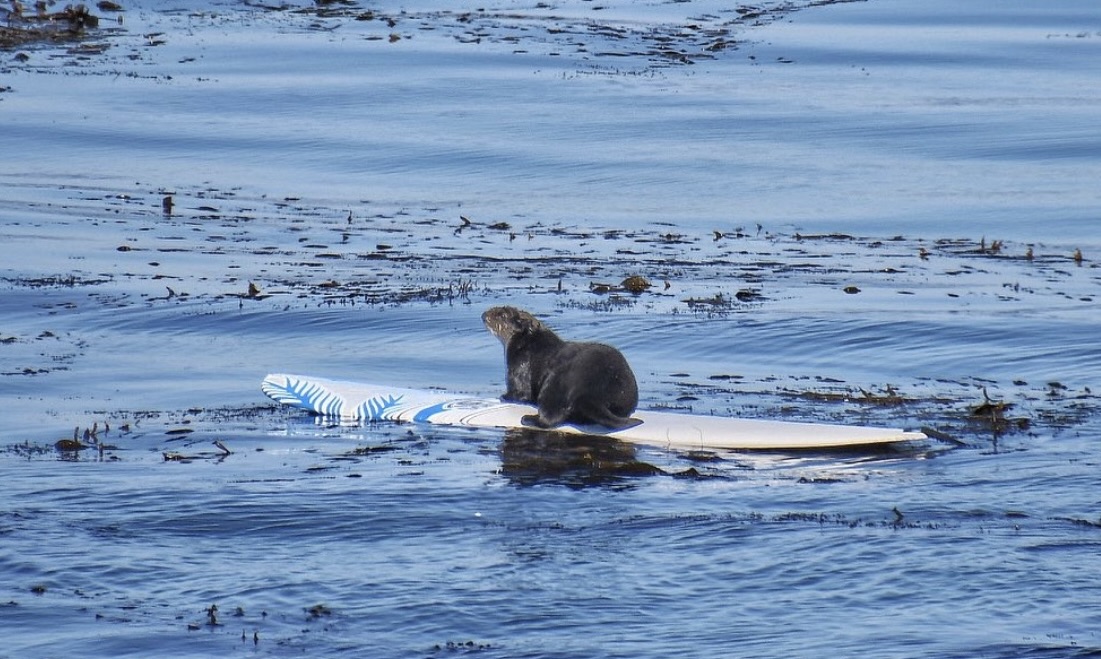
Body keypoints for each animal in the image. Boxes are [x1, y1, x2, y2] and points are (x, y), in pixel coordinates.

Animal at [482, 306, 639, 430]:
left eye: (502, 315)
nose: (484, 315)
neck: (530, 343)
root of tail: (590, 393)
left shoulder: (518, 366)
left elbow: (521, 393)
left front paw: (505, 396)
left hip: (556, 383)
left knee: (549, 418)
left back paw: (528, 418)